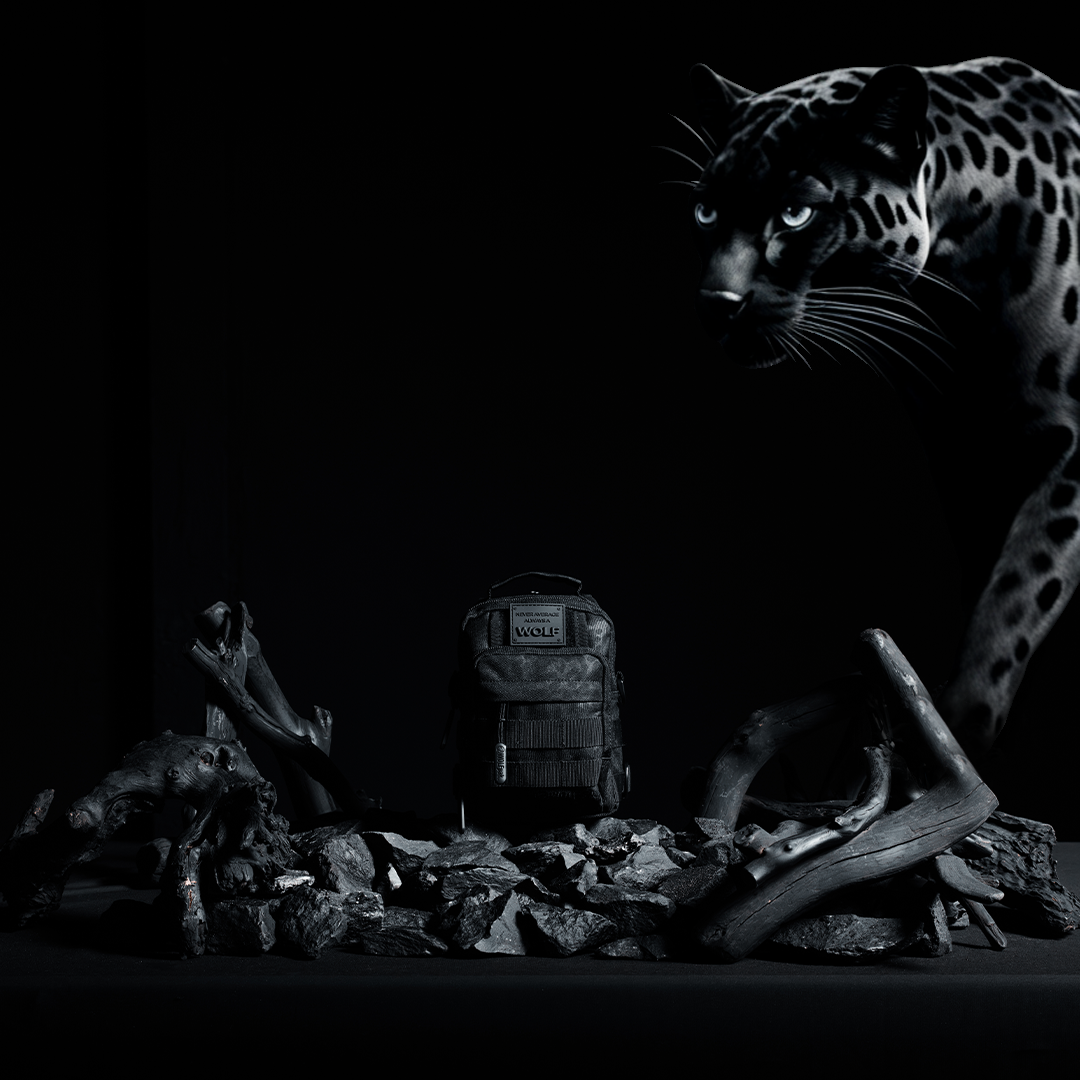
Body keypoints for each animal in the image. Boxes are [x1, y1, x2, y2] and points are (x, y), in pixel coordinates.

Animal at [665, 57, 1079, 760]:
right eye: (705, 210)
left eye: (796, 214)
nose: (716, 303)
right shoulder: (966, 462)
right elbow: (988, 584)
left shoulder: (1068, 451)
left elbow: (1018, 589)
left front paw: (955, 734)